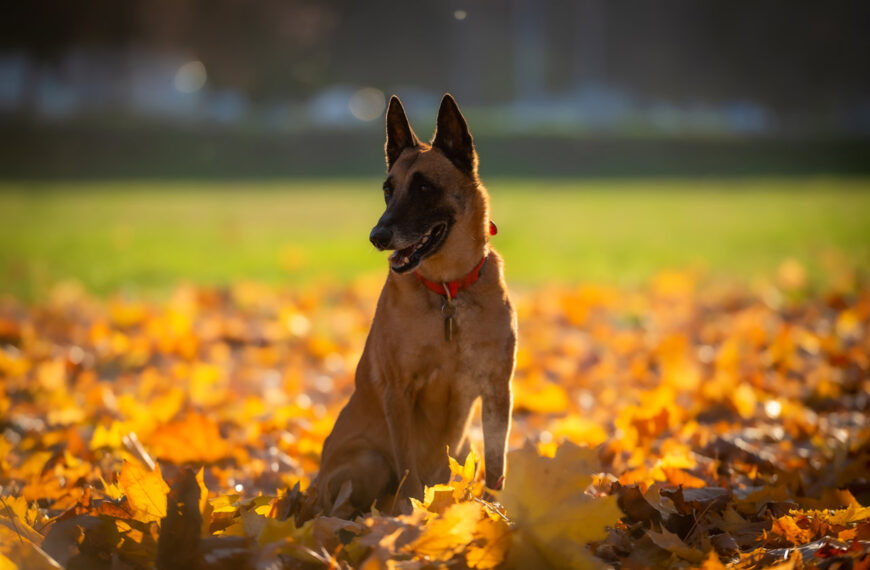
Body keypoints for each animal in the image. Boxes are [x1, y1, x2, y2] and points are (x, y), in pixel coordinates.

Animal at [310, 94, 516, 516]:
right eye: (388, 189)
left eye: (423, 187)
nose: (377, 236)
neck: (448, 292)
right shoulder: (399, 391)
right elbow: (409, 469)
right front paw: (411, 514)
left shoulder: (496, 389)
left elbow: (496, 466)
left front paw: (493, 515)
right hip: (367, 461)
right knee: (340, 508)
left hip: (464, 446)